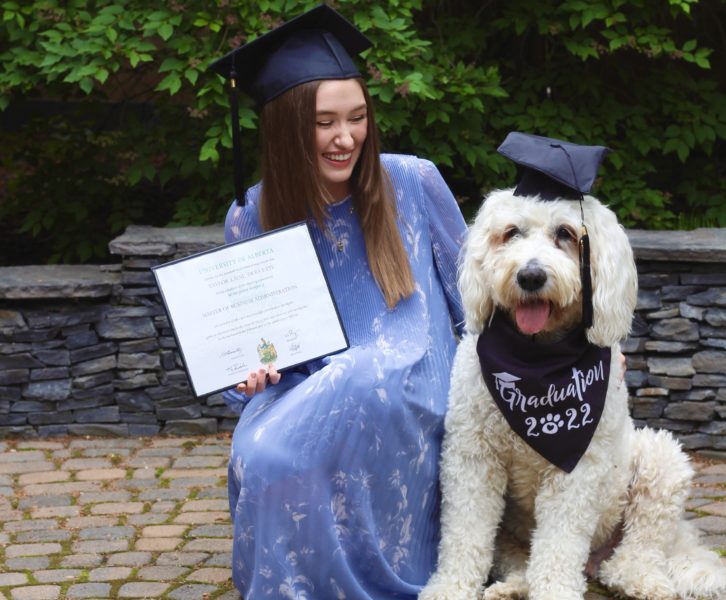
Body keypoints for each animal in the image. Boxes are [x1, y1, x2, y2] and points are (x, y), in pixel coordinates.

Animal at [420, 190, 726, 600]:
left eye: (564, 233)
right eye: (511, 232)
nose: (530, 276)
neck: (537, 360)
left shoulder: (576, 469)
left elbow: (559, 545)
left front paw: (555, 591)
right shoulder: (473, 456)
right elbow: (464, 533)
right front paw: (449, 588)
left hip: (661, 463)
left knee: (637, 550)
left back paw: (642, 579)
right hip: (511, 536)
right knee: (521, 561)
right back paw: (511, 587)